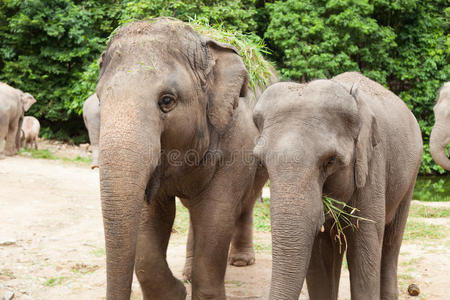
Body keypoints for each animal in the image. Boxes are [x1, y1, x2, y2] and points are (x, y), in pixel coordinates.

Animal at [96, 18, 270, 300]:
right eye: (100, 100)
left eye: (167, 101)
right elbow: (151, 214)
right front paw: (175, 292)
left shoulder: (237, 139)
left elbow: (216, 212)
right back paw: (188, 272)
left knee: (247, 201)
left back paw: (241, 261)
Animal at [253, 71, 426, 298]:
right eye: (261, 162)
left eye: (330, 161)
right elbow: (320, 257)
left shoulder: (372, 167)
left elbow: (363, 251)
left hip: (410, 176)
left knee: (391, 242)